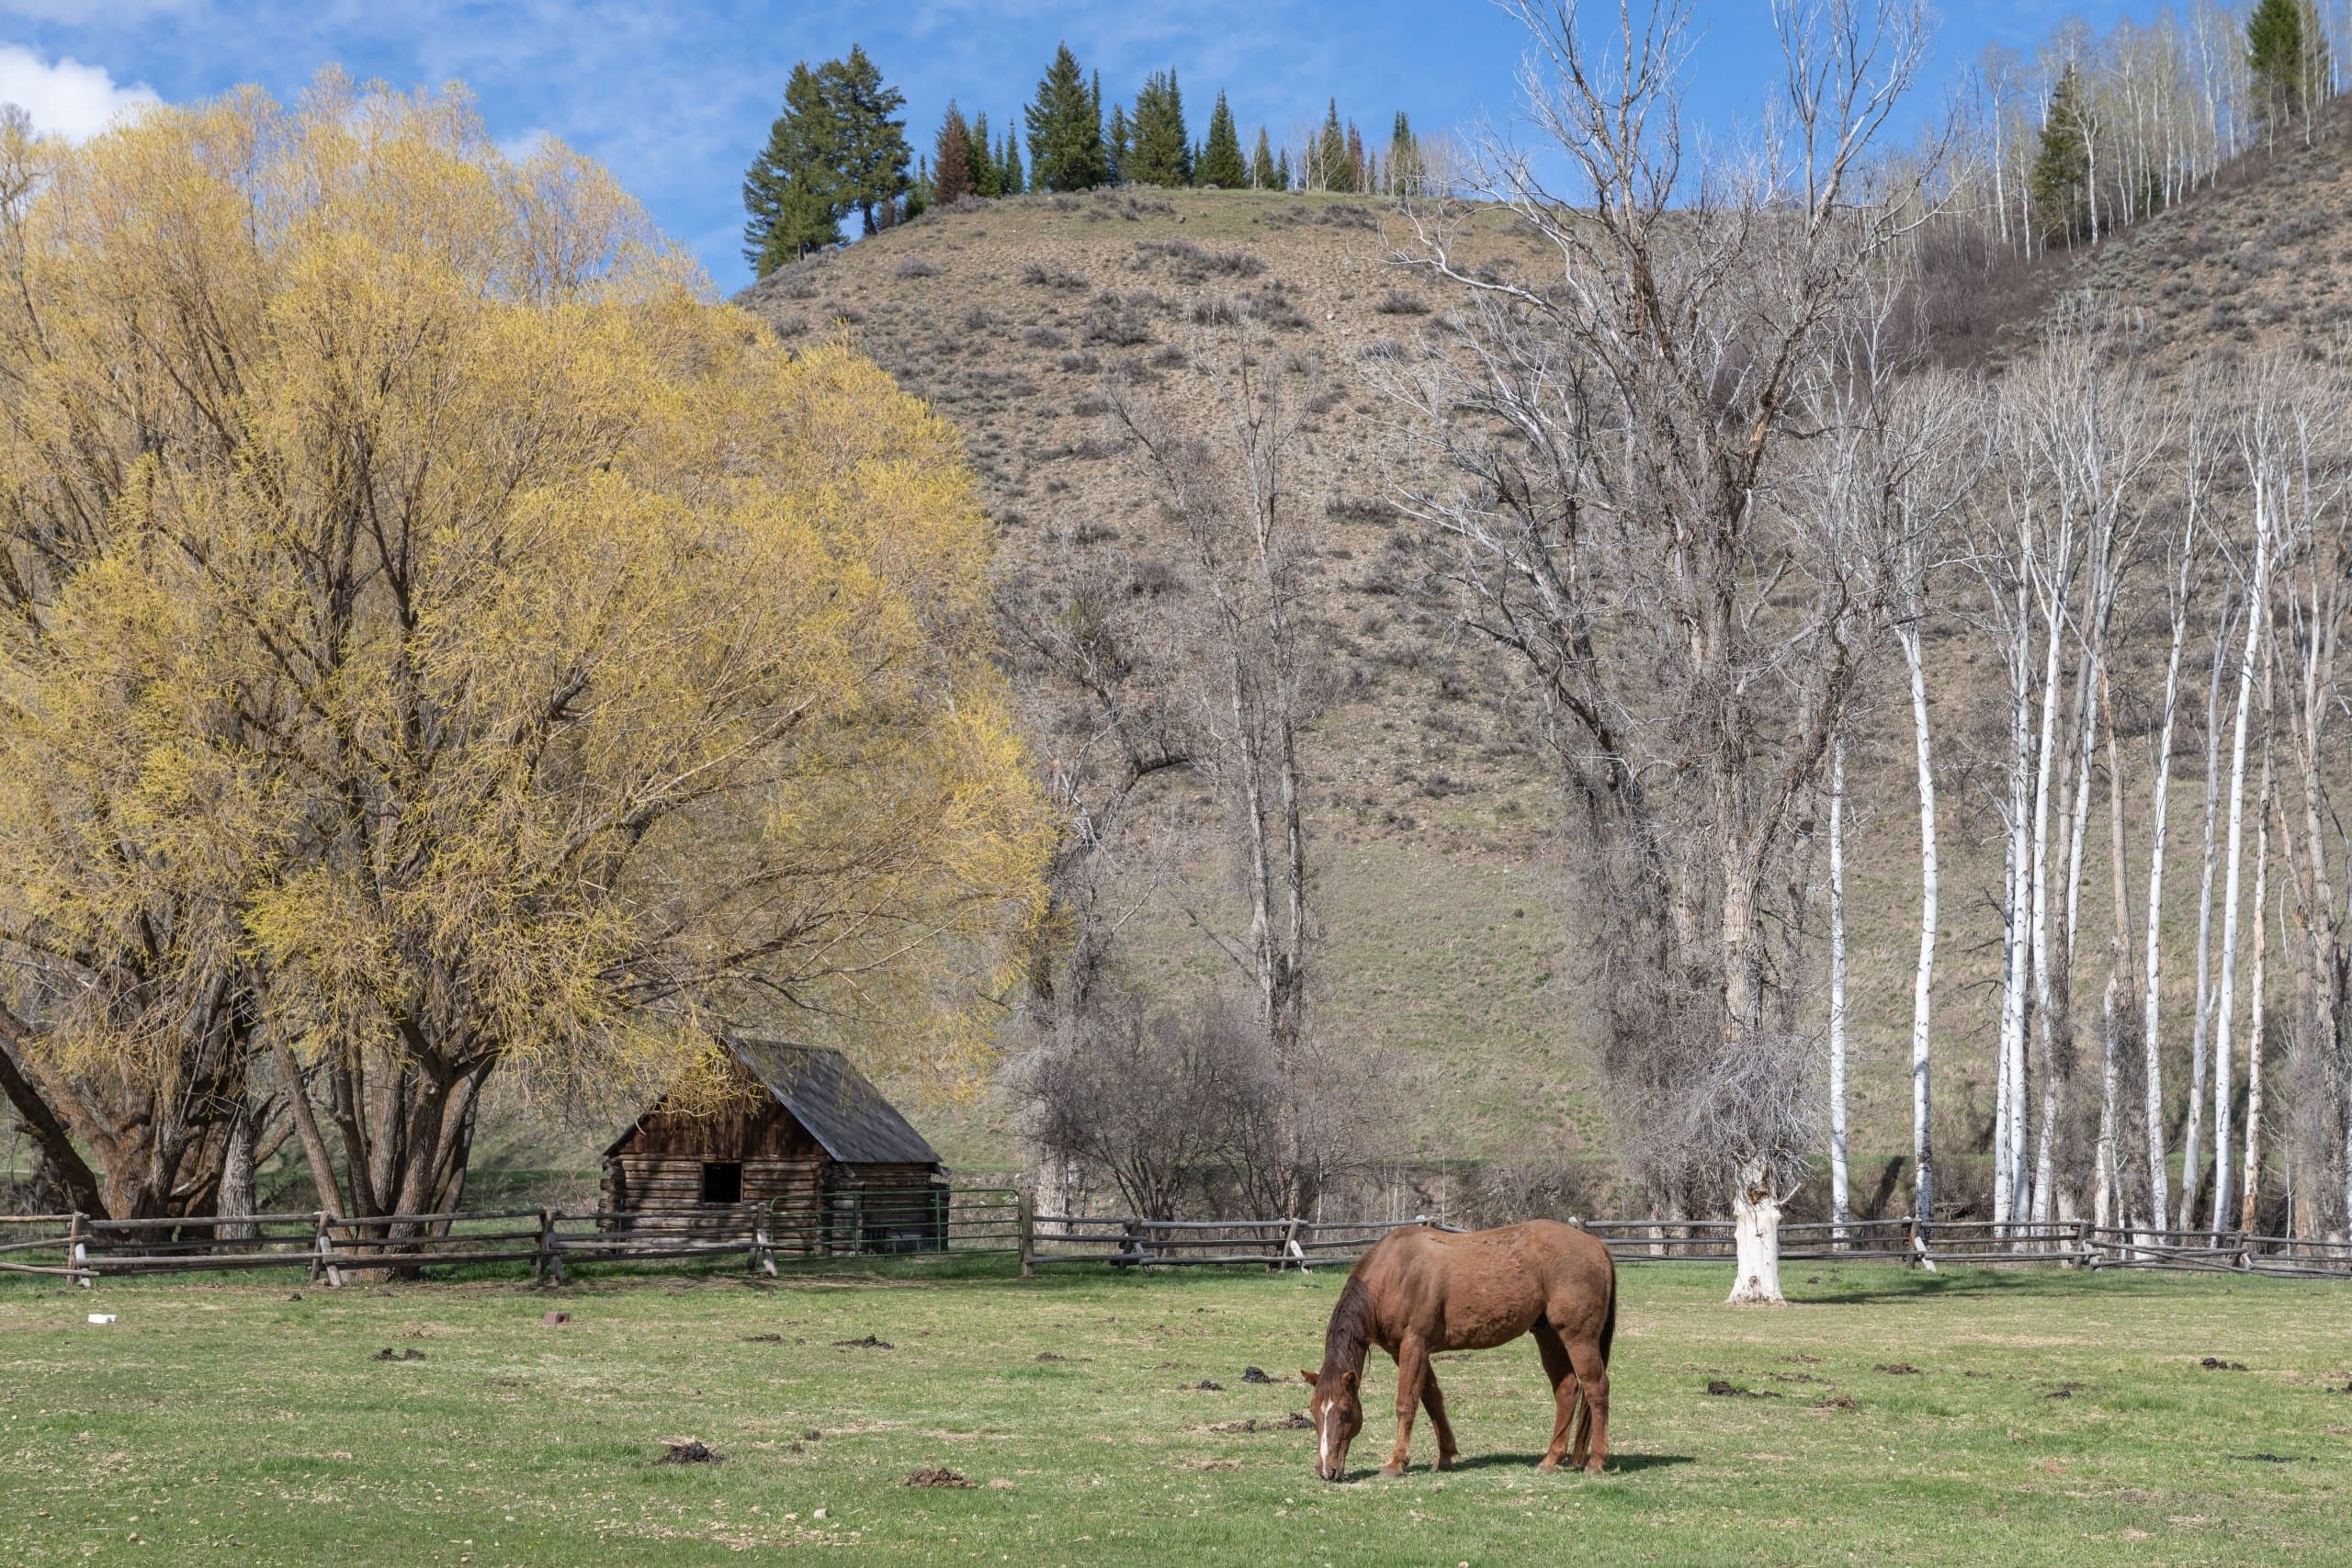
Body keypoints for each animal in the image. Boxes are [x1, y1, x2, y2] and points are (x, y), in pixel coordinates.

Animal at [1300, 1219, 1615, 1481]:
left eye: (1344, 1413)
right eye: (1314, 1412)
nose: (1326, 1471)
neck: (1396, 1273)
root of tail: (1594, 1243)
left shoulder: (1414, 1344)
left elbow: (1406, 1403)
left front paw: (1395, 1464)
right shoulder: (1406, 1351)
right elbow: (1432, 1400)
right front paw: (1445, 1457)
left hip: (1578, 1337)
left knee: (1596, 1388)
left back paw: (1596, 1462)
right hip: (1548, 1334)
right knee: (1566, 1389)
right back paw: (1550, 1459)